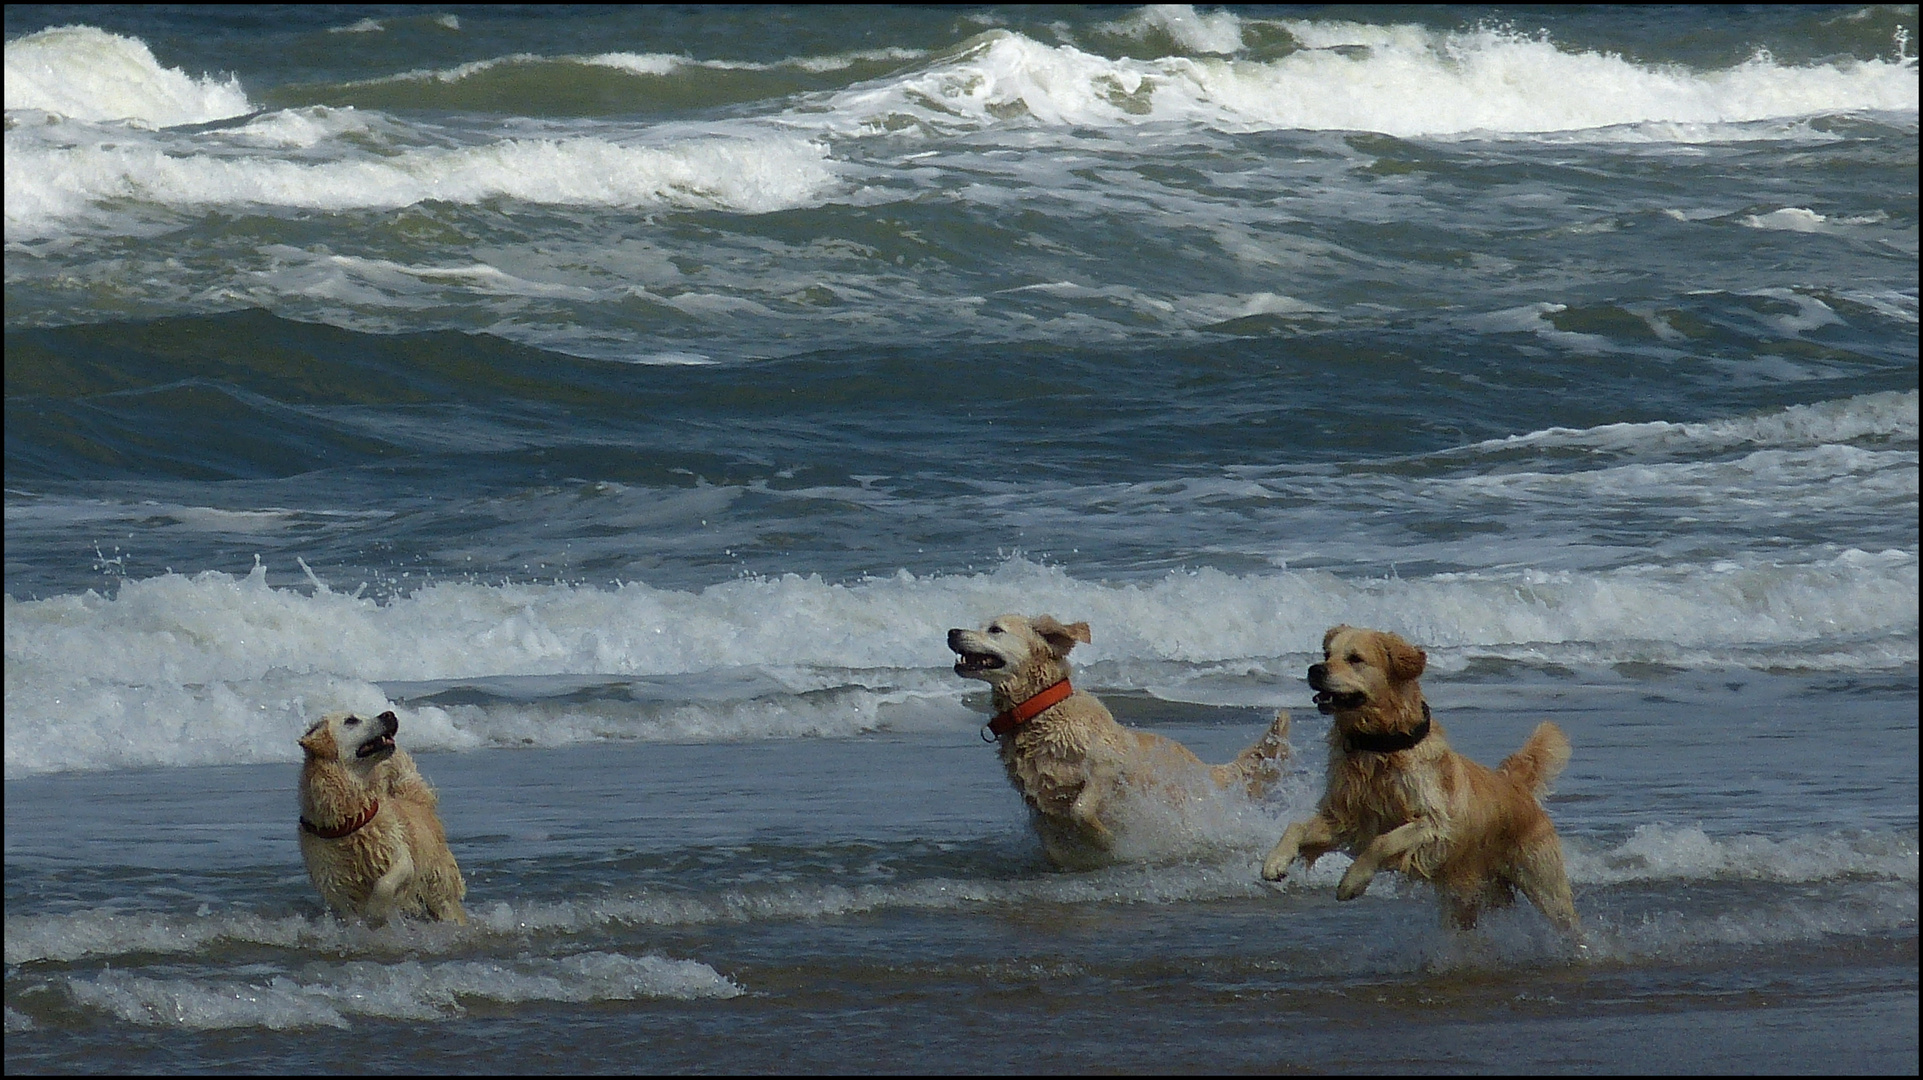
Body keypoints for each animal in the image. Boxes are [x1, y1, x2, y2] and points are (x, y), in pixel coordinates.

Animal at [298, 711, 467, 922]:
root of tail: (418, 801)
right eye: (351, 720)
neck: (351, 818)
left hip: (440, 889)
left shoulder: (401, 859)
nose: (389, 714)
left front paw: (376, 914)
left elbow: (384, 885)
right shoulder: (336, 887)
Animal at [946, 614, 1292, 864]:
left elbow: (1081, 808)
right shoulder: (1037, 803)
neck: (1039, 710)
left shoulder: (1108, 766)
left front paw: (1105, 840)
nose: (951, 631)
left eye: (995, 629)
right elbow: (1054, 842)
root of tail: (1205, 768)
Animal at [1261, 622, 1576, 933]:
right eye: (1326, 654)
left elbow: (1383, 841)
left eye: (1355, 659)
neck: (1380, 746)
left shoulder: (1435, 823)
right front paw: (1275, 862)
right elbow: (1295, 826)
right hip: (1462, 900)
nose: (1314, 669)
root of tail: (1515, 785)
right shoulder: (1347, 818)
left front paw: (1352, 882)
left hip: (1547, 889)